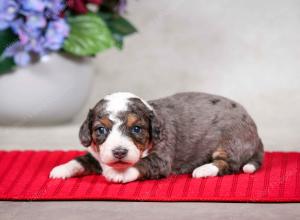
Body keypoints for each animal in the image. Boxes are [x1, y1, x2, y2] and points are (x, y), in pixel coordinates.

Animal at [50, 92, 264, 183]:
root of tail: (254, 128)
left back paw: (203, 169)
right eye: (101, 130)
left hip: (231, 141)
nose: (119, 152)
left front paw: (119, 174)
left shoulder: (161, 158)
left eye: (137, 128)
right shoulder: (98, 155)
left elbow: (142, 163)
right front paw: (61, 169)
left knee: (228, 164)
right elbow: (81, 159)